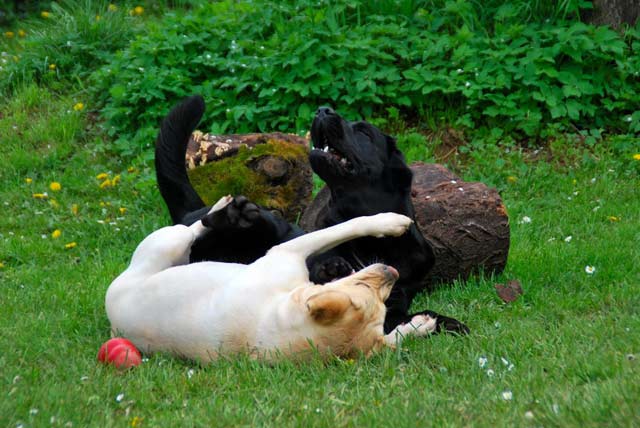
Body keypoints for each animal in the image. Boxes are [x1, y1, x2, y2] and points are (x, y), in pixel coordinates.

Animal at [106, 196, 436, 362]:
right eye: (360, 286)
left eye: (383, 306)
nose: (392, 272)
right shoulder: (287, 250)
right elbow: (348, 226)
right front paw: (390, 221)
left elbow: (395, 338)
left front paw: (419, 325)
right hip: (170, 241)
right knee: (194, 227)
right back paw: (220, 206)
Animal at [155, 96, 468, 335]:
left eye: (364, 133)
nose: (323, 110)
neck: (371, 246)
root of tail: (193, 210)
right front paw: (331, 269)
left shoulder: (397, 298)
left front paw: (447, 322)